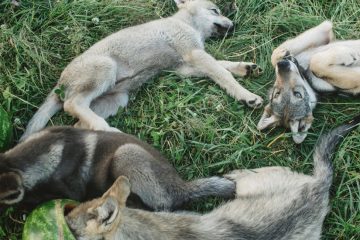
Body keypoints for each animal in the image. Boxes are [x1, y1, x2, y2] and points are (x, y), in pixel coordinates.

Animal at [22, 0, 264, 140]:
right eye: (215, 10)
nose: (233, 25)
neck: (187, 24)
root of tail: (59, 84)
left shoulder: (185, 67)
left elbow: (222, 65)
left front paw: (246, 68)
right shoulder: (193, 54)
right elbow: (223, 73)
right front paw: (247, 96)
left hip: (115, 101)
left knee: (79, 121)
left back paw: (103, 134)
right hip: (105, 70)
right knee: (72, 104)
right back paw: (108, 130)